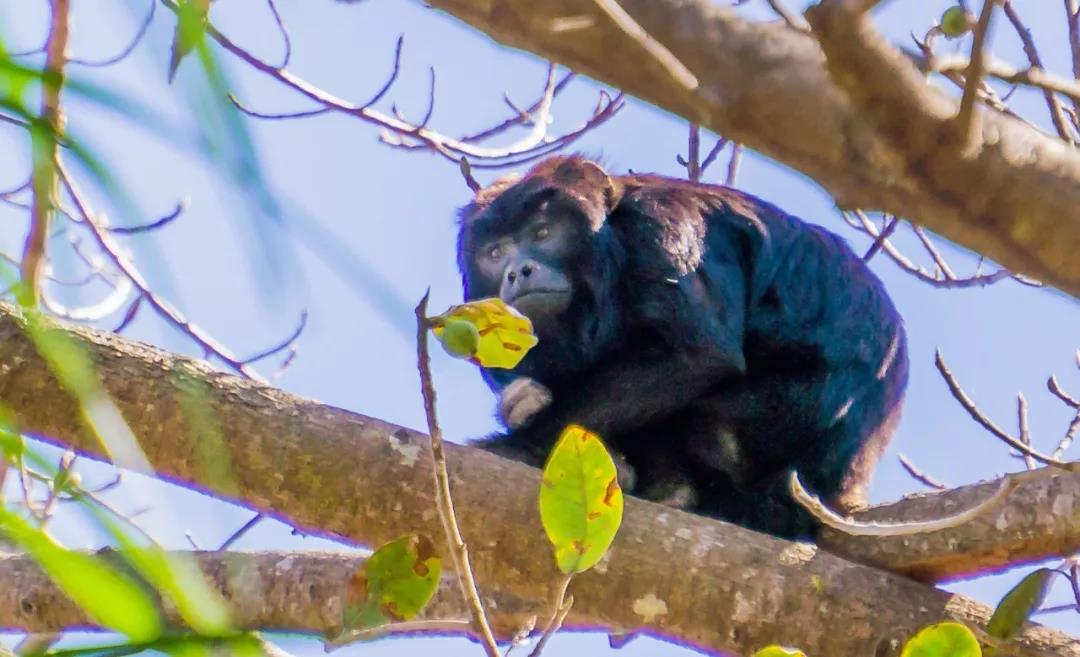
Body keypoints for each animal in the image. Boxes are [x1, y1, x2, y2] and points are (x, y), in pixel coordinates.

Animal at [451, 155, 907, 538]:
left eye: (543, 233)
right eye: (495, 253)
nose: (517, 272)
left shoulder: (660, 223)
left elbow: (696, 354)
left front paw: (516, 445)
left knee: (709, 423)